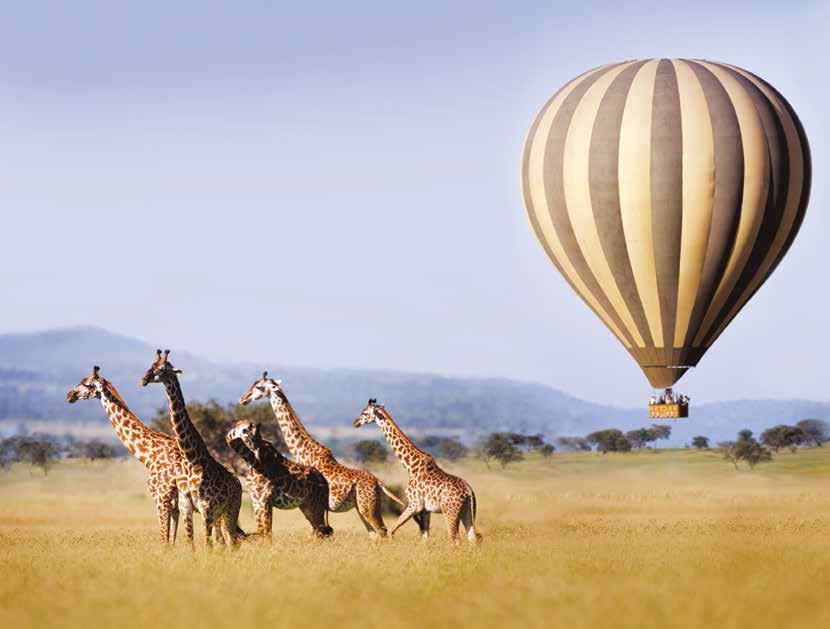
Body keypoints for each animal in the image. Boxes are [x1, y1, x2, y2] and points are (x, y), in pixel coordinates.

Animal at [65, 364, 195, 544]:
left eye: (87, 384)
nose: (69, 395)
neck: (148, 454)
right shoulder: (173, 501)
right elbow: (171, 539)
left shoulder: (162, 496)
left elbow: (164, 540)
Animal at [140, 350, 242, 548]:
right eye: (151, 365)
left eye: (162, 369)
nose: (143, 380)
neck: (191, 458)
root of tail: (239, 483)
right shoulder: (185, 506)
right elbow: (190, 544)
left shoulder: (206, 507)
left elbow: (207, 546)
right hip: (219, 514)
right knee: (224, 542)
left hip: (231, 510)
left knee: (232, 542)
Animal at [239, 372, 412, 540]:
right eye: (253, 383)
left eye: (259, 387)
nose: (243, 399)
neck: (303, 451)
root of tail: (379, 482)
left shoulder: (313, 504)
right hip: (362, 508)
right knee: (374, 535)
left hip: (368, 507)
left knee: (382, 532)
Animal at [354, 400, 484, 544]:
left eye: (365, 413)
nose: (356, 422)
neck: (411, 466)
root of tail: (469, 492)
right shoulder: (425, 510)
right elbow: (425, 538)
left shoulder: (414, 504)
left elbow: (391, 530)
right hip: (467, 512)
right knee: (472, 538)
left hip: (450, 512)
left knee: (455, 538)